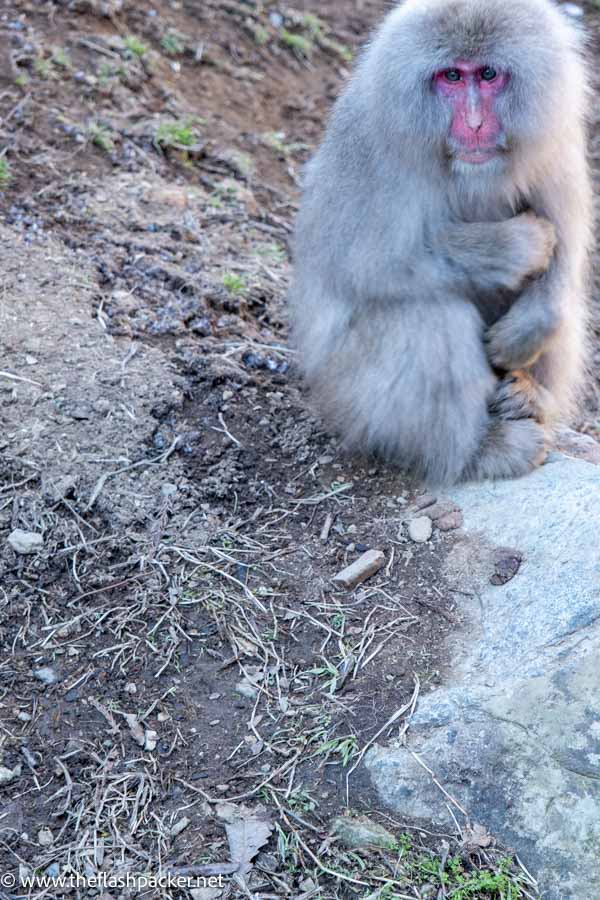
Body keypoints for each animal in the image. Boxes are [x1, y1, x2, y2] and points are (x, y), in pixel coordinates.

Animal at [288, 0, 592, 486]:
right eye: (451, 76)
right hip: (352, 397)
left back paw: (532, 398)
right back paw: (478, 452)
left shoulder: (553, 139)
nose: (474, 123)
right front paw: (513, 246)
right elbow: (359, 261)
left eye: (487, 74)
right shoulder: (369, 145)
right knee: (433, 316)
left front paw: (533, 324)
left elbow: (567, 242)